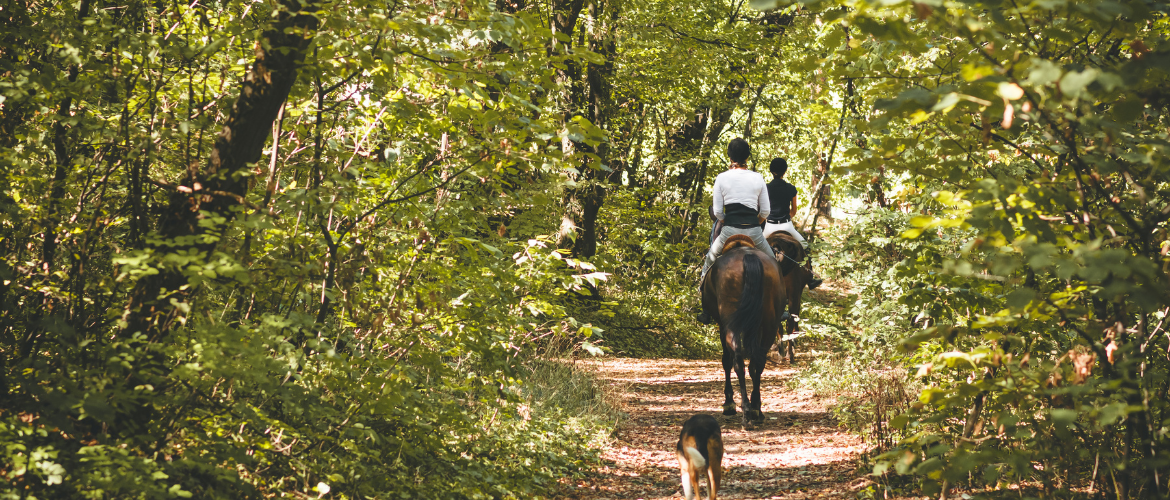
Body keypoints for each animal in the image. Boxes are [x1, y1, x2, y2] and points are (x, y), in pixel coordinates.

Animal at [702, 235, 786, 426]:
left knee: (737, 360)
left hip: (730, 323)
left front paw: (729, 403)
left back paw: (746, 410)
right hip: (769, 324)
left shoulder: (722, 324)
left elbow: (726, 360)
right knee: (757, 362)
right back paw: (755, 409)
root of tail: (748, 256)